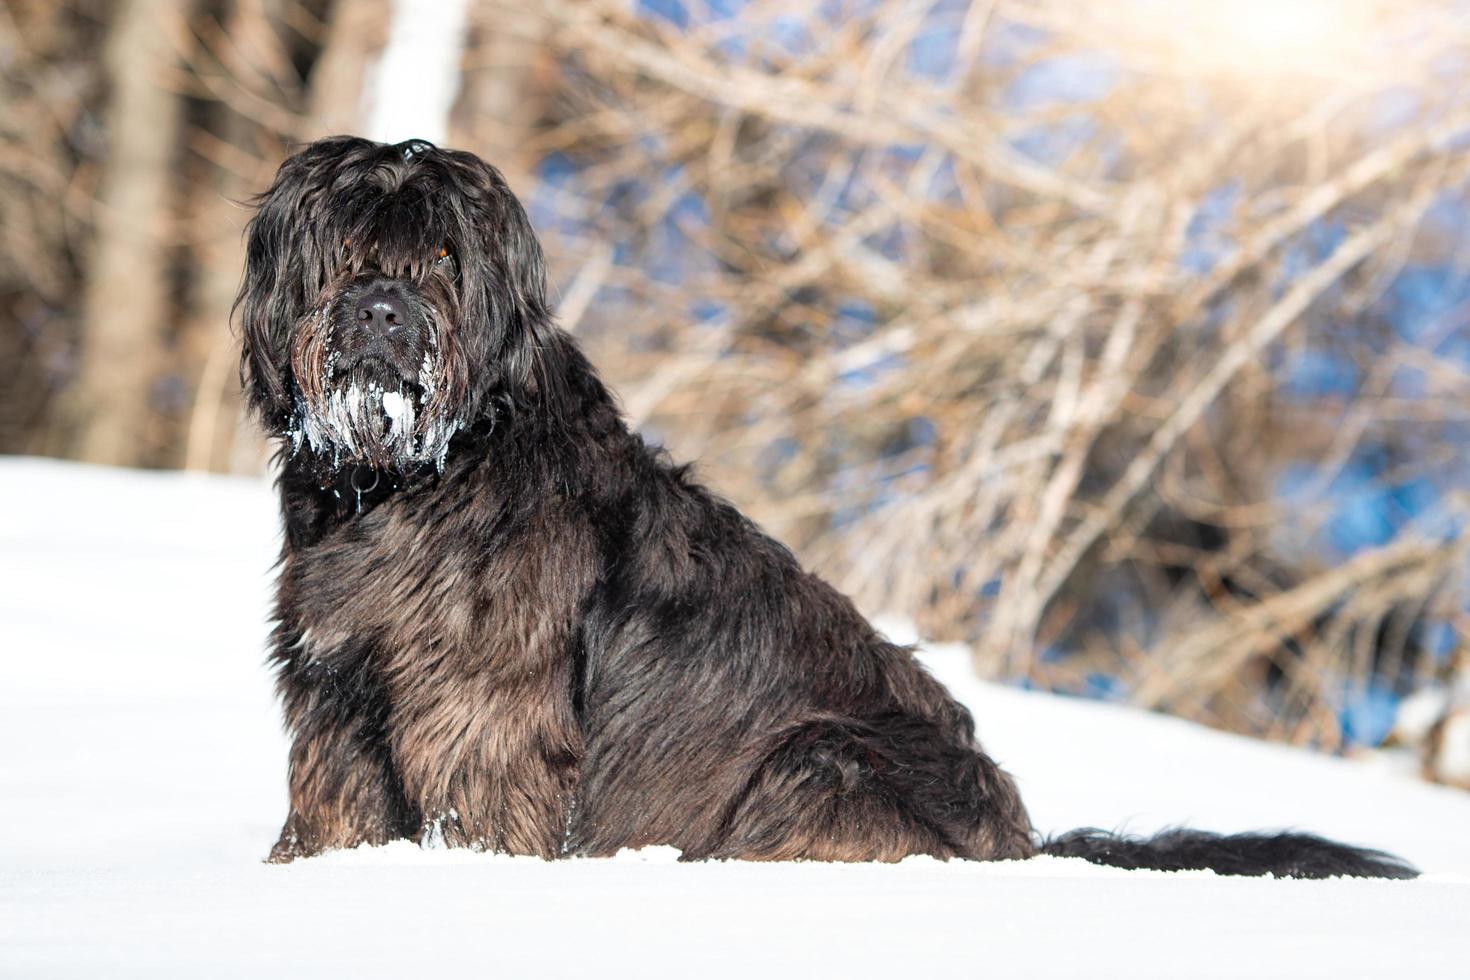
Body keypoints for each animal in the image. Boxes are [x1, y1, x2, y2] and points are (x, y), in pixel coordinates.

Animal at [238, 134, 1411, 875]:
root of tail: (1025, 845)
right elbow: (334, 802)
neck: (415, 476)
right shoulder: (337, 695)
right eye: (346, 247)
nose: (382, 312)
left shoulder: (484, 706)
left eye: (444, 253)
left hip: (820, 752)